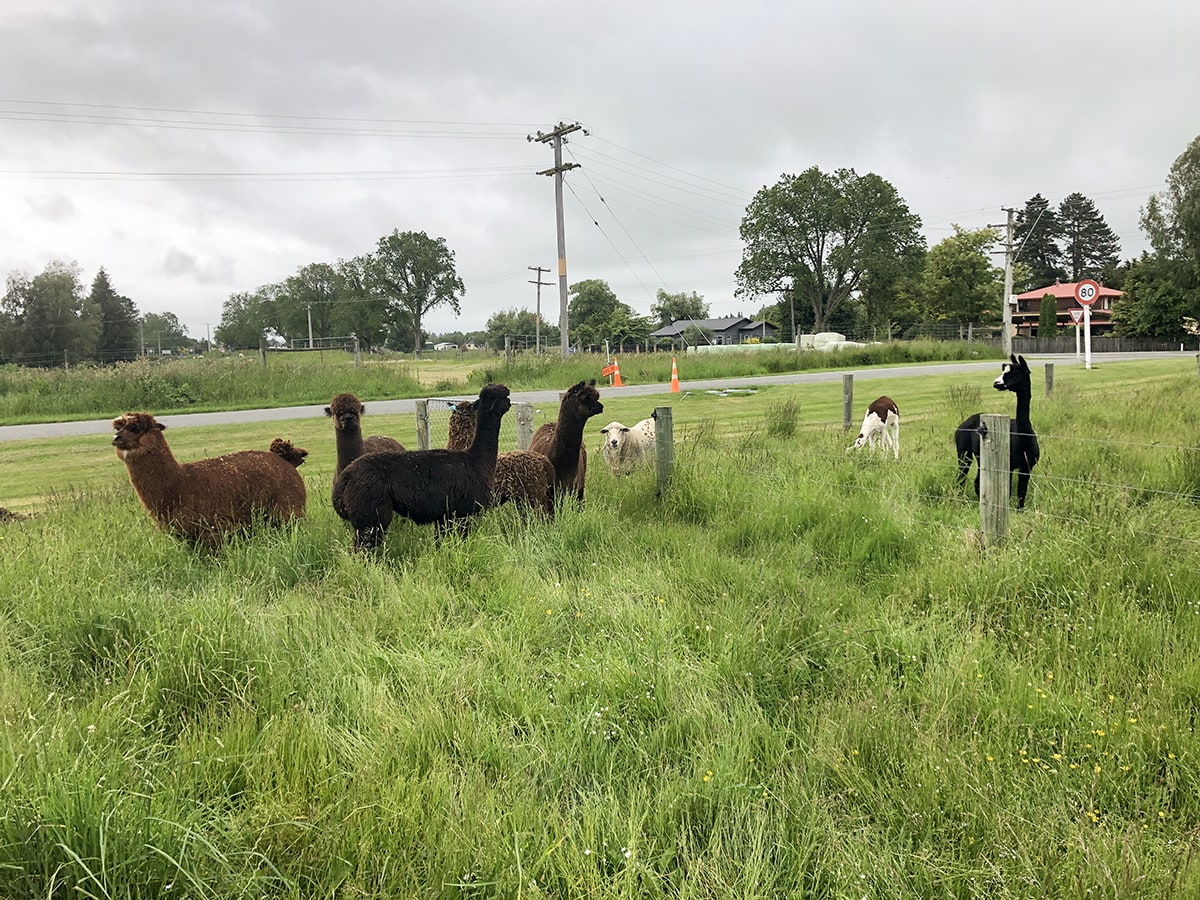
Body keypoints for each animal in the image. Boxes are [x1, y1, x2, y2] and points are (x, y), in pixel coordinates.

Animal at [111, 412, 308, 546]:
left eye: (135, 428)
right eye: (117, 427)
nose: (116, 438)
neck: (180, 484)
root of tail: (285, 460)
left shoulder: (213, 530)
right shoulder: (185, 537)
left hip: (288, 509)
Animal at [331, 383, 511, 550]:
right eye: (500, 396)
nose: (509, 401)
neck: (477, 461)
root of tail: (345, 478)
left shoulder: (444, 515)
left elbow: (441, 543)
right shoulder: (463, 513)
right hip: (370, 514)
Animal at [955, 354, 1041, 508]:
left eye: (1015, 373)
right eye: (1003, 371)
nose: (996, 383)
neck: (1023, 439)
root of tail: (965, 422)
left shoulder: (1027, 466)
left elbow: (1021, 494)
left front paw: (1019, 510)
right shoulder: (1009, 465)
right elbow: (1009, 491)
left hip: (980, 456)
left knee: (977, 481)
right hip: (964, 452)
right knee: (961, 477)